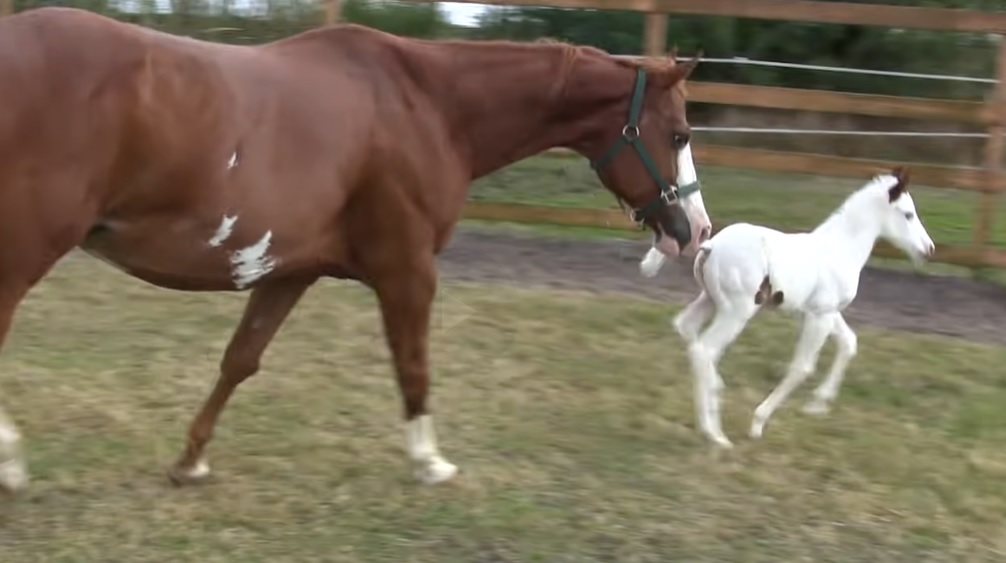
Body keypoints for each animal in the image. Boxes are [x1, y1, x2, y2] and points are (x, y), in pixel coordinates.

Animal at [0, 7, 712, 492]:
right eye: (679, 132)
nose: (695, 231)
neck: (428, 105)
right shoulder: (407, 268)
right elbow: (413, 364)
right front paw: (431, 462)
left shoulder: (288, 271)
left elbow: (240, 360)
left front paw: (190, 461)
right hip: (25, 250)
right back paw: (11, 462)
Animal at [659, 167, 933, 448]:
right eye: (908, 214)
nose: (929, 249)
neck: (840, 248)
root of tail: (710, 246)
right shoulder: (820, 316)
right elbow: (802, 367)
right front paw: (758, 422)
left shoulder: (824, 311)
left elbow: (849, 343)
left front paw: (818, 405)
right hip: (736, 311)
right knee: (705, 349)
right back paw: (715, 433)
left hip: (711, 300)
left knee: (687, 329)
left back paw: (715, 393)